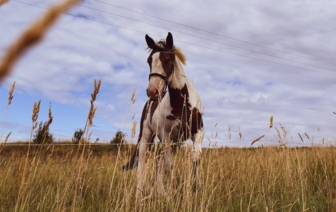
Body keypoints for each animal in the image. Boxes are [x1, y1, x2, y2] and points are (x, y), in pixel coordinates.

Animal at [122, 31, 203, 200]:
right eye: (149, 61)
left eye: (168, 60)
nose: (152, 91)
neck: (181, 103)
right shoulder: (166, 137)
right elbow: (169, 166)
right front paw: (171, 196)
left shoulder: (198, 133)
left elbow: (195, 159)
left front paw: (197, 189)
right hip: (148, 136)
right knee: (143, 165)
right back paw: (140, 197)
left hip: (172, 143)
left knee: (157, 163)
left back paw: (161, 192)